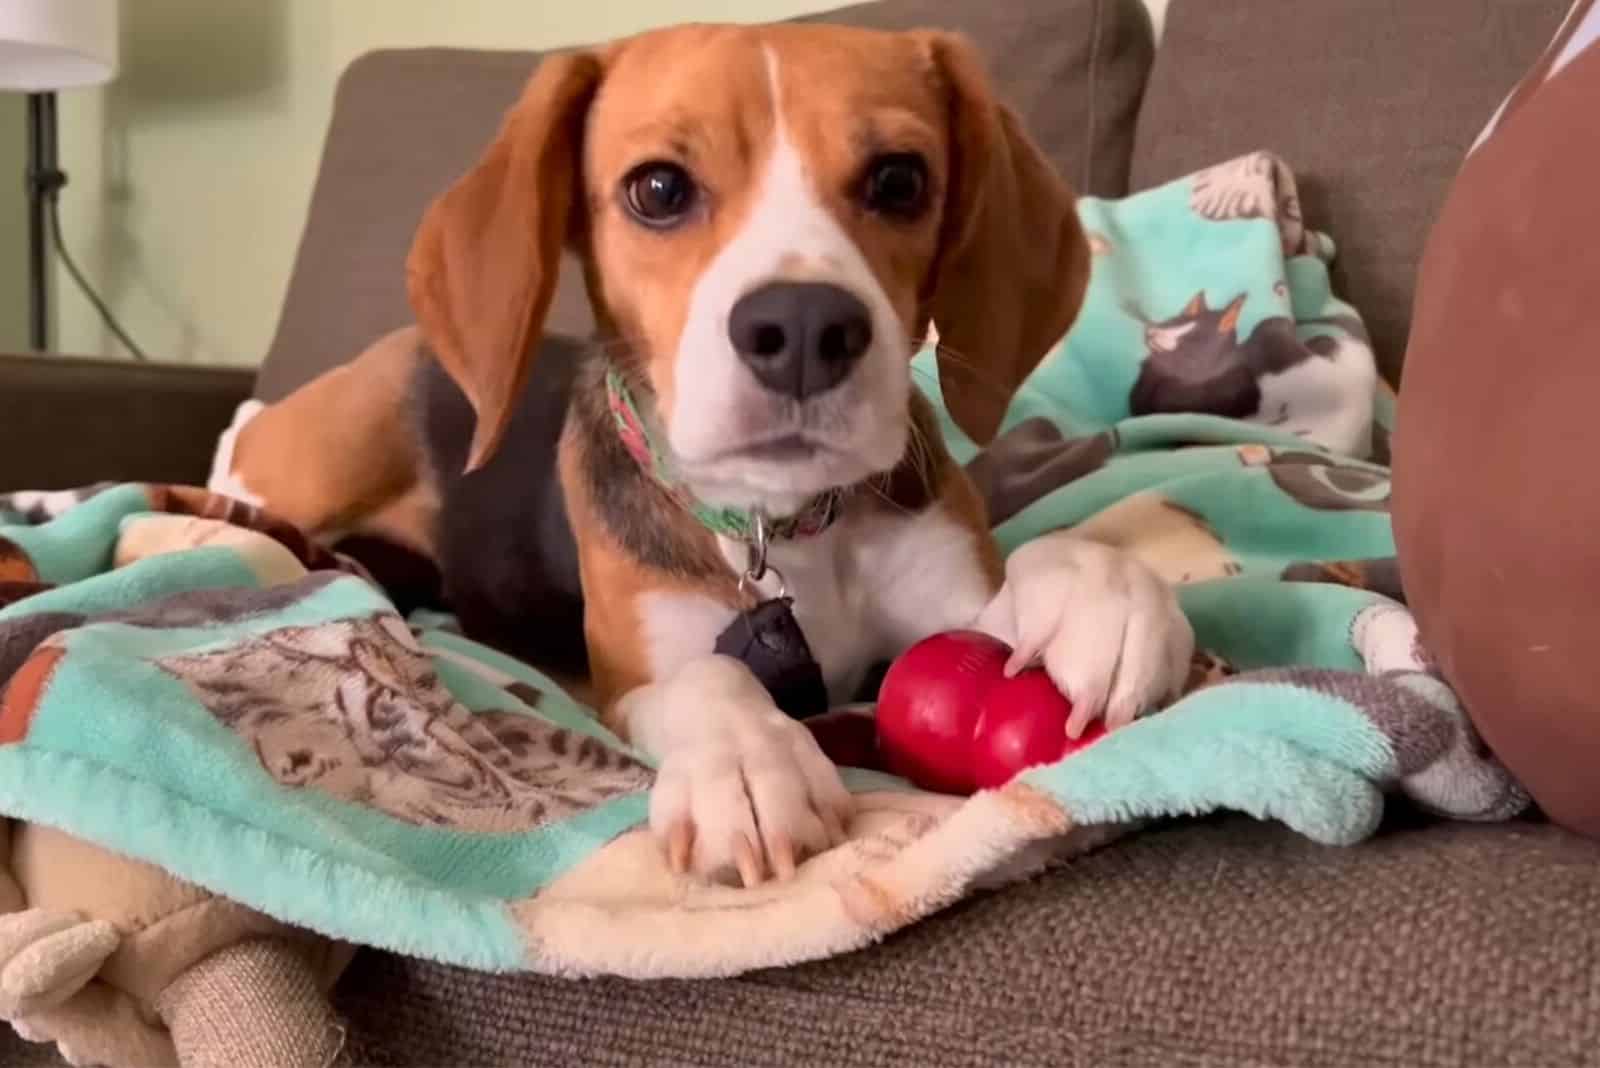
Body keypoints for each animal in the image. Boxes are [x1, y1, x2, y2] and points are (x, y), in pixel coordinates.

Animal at [236, 24, 1196, 888]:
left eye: (899, 180)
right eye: (658, 189)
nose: (804, 329)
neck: (786, 524)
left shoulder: (950, 595)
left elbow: (1049, 569)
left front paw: (1101, 600)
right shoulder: (626, 680)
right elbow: (706, 678)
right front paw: (746, 763)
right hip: (335, 443)